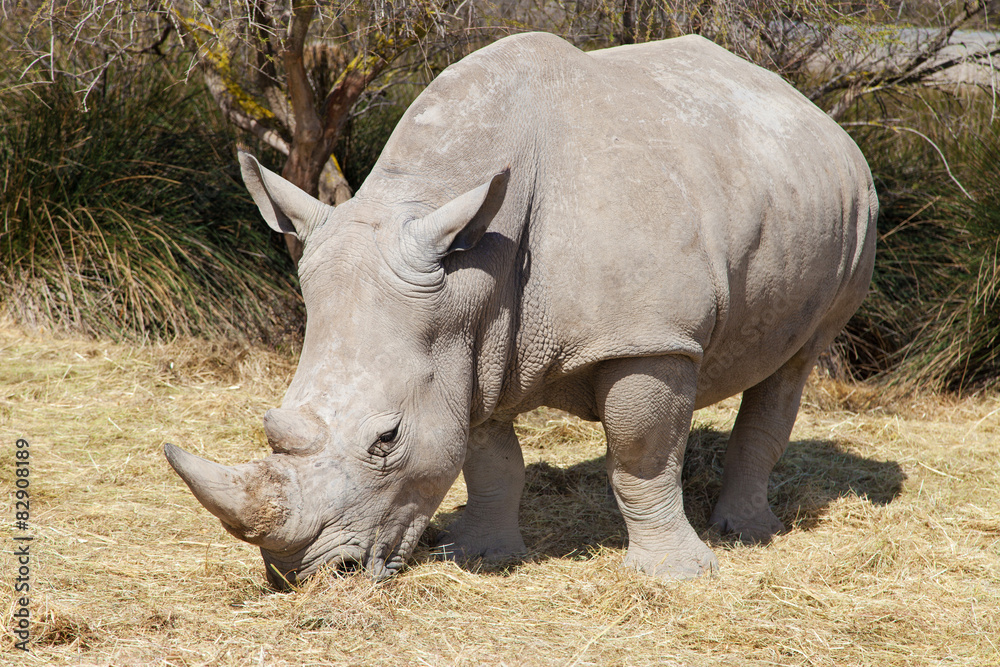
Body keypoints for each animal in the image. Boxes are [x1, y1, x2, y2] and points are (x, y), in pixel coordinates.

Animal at [164, 31, 876, 587]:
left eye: (386, 439)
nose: (303, 575)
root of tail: (811, 110)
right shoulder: (468, 337)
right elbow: (488, 456)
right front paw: (480, 556)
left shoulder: (649, 337)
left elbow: (642, 458)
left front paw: (678, 577)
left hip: (857, 207)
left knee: (795, 362)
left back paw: (745, 534)